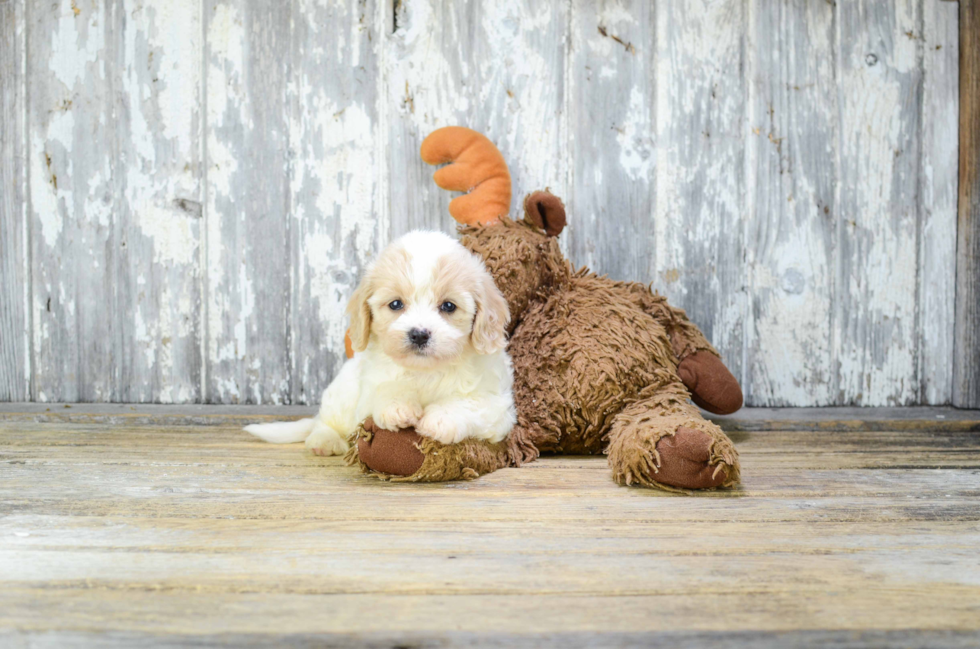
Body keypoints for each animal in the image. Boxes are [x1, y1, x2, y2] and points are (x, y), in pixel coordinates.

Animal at [243, 230, 512, 454]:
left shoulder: (498, 406)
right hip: (342, 392)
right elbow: (384, 389)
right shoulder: (368, 393)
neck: (425, 372)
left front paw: (440, 419)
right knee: (323, 420)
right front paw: (397, 406)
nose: (419, 334)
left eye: (448, 306)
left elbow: (470, 404)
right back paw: (325, 441)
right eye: (396, 304)